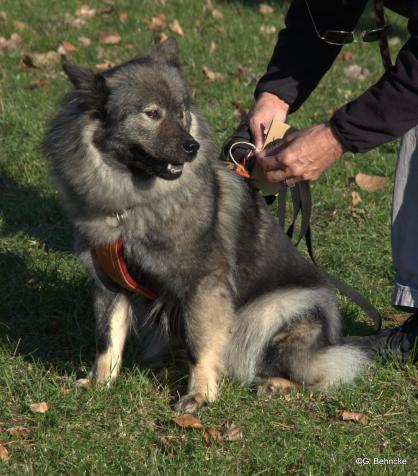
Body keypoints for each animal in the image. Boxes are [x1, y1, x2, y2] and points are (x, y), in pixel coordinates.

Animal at [45, 38, 370, 412]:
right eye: (152, 113)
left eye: (181, 112)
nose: (192, 146)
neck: (131, 206)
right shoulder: (108, 282)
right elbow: (107, 337)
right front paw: (100, 383)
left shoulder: (203, 284)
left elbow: (202, 345)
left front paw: (199, 395)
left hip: (272, 311)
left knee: (307, 371)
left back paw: (276, 385)